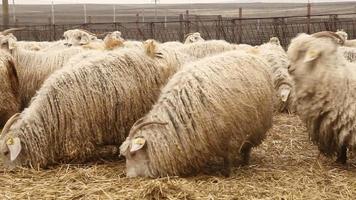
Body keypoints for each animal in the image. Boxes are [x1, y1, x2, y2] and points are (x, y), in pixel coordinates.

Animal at [119, 49, 272, 177]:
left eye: (133, 154)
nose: (128, 177)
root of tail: (252, 55)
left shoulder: (227, 137)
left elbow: (227, 159)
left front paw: (227, 173)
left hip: (256, 127)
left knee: (247, 148)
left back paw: (245, 162)